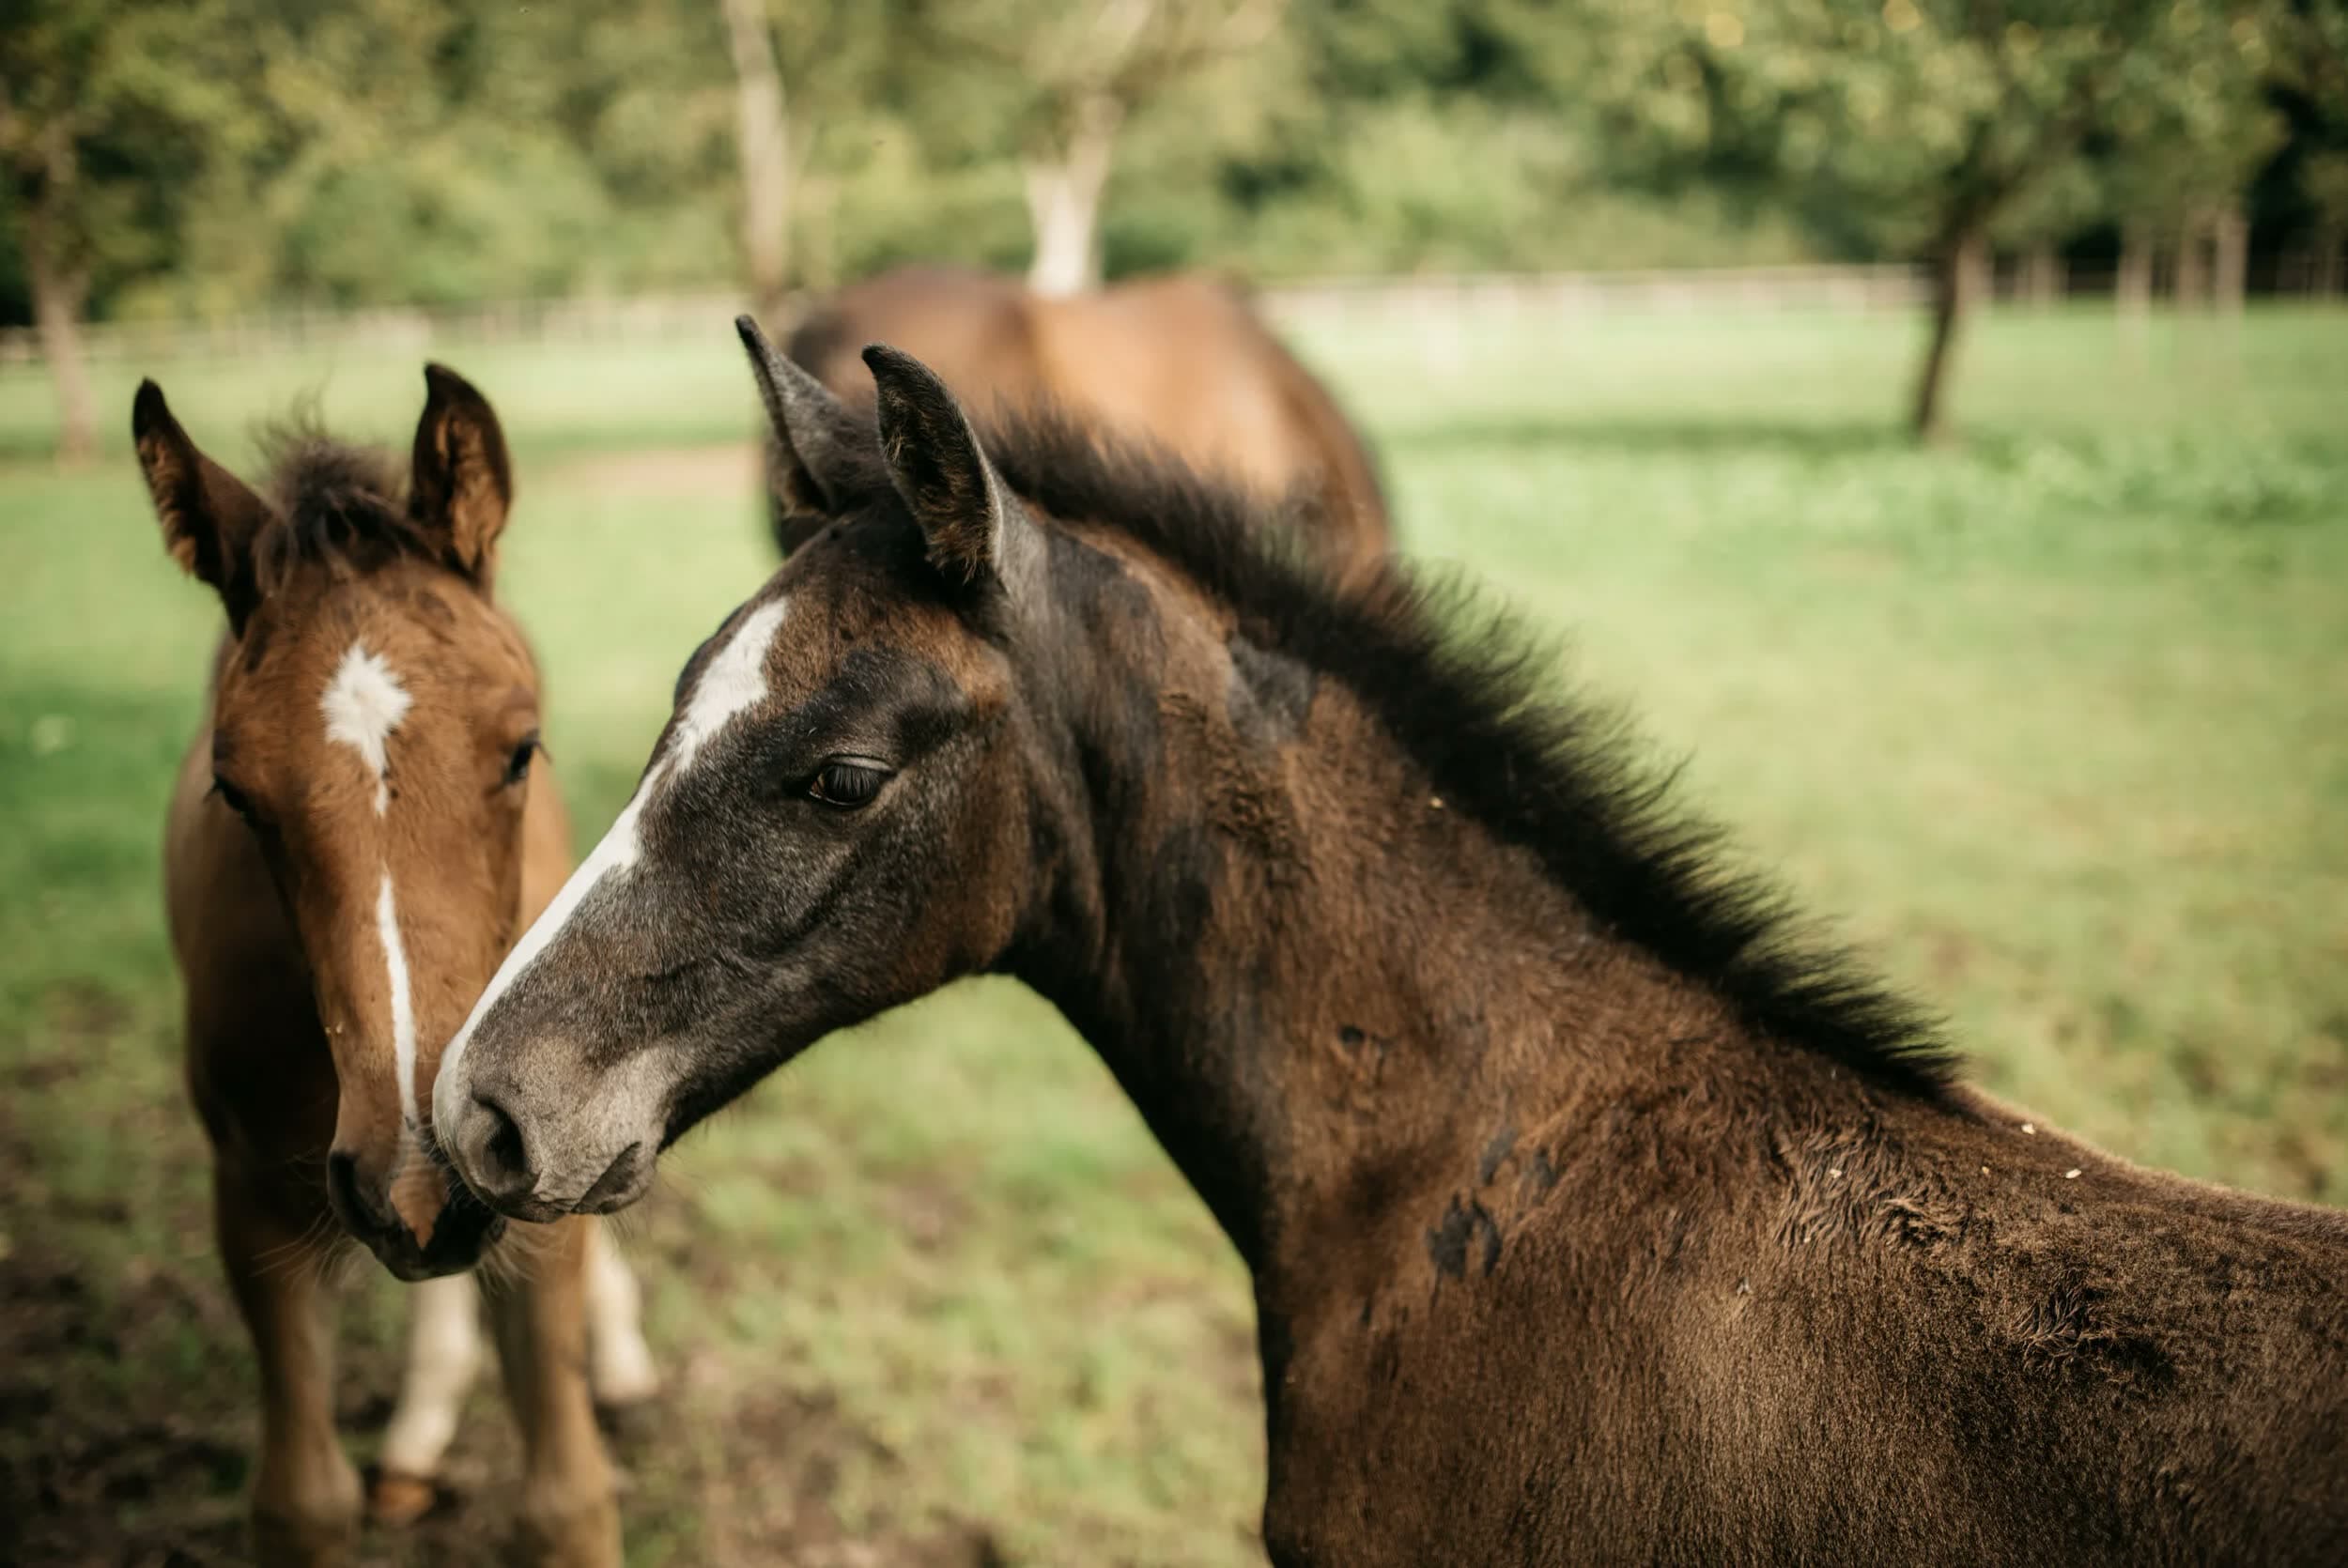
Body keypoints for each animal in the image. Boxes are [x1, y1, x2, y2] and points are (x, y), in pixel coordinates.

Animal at [137, 368, 656, 1566]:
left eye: (521, 749)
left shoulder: (533, 1171)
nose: (419, 1180)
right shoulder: (254, 1198)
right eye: (238, 793)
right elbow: (299, 1500)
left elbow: (566, 1500)